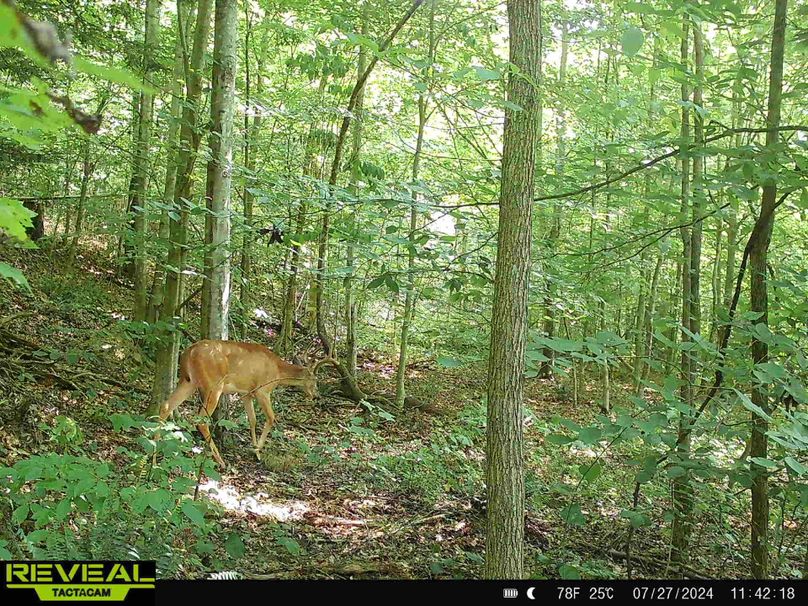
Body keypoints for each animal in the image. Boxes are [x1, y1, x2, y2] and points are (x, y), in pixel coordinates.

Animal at [156, 342, 332, 470]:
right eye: (315, 380)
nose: (317, 396)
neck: (277, 370)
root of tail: (189, 352)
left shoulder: (247, 394)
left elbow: (252, 420)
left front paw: (255, 451)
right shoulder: (262, 390)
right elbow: (271, 418)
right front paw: (258, 451)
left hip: (188, 381)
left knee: (166, 406)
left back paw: (154, 448)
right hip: (214, 385)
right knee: (200, 420)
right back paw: (220, 461)